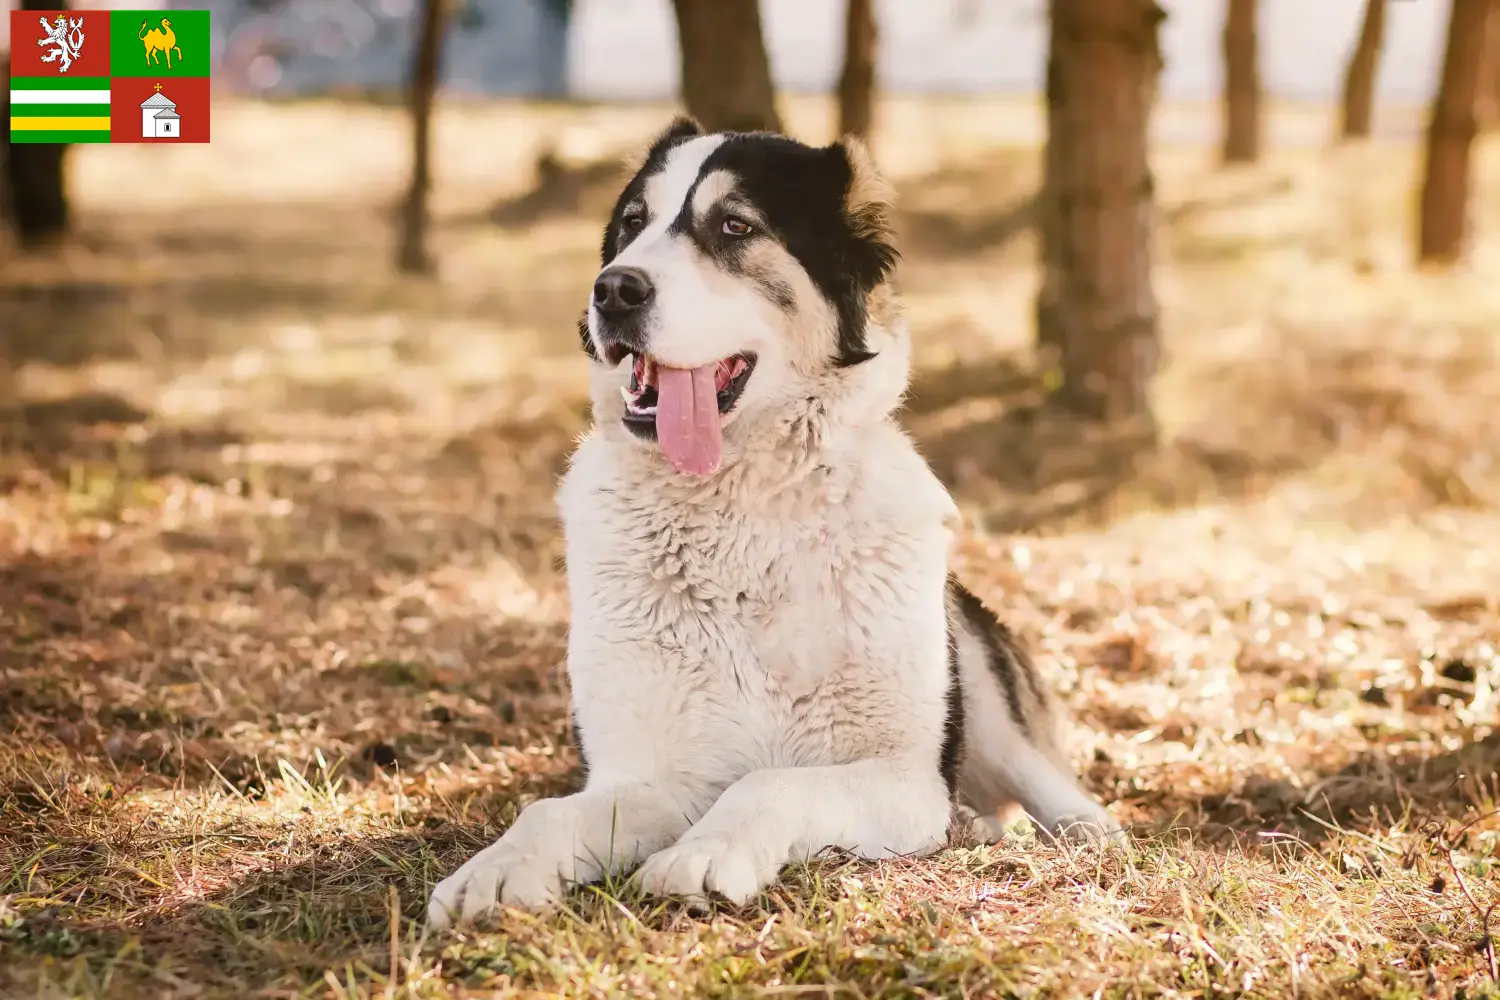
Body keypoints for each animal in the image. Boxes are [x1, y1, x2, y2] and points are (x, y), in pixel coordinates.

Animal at [423, 119, 1116, 929]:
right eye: (631, 224)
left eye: (734, 226)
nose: (614, 289)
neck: (740, 514)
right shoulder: (653, 776)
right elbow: (550, 813)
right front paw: (496, 871)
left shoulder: (906, 776)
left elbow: (771, 783)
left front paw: (703, 855)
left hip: (984, 694)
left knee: (1052, 789)